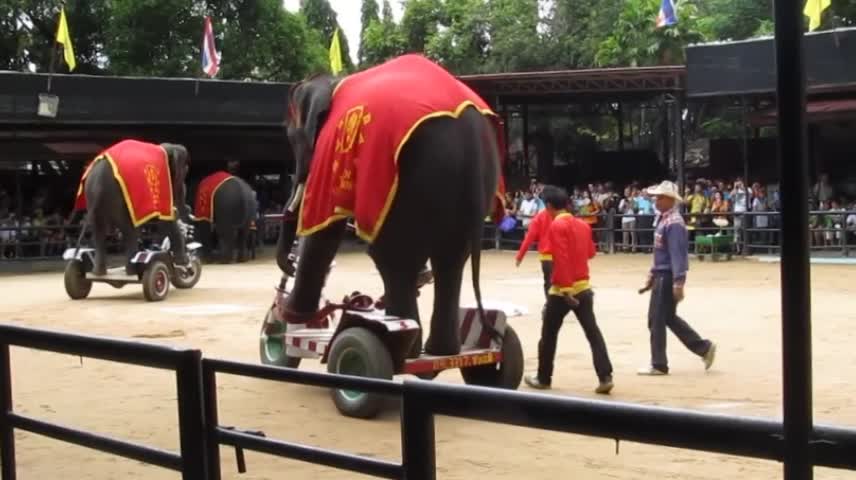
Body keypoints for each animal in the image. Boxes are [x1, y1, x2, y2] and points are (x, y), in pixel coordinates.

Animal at [73, 139, 191, 276]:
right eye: (185, 172)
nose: (188, 209)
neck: (165, 147)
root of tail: (98, 183)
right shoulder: (161, 177)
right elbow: (165, 218)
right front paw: (184, 262)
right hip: (119, 199)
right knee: (130, 231)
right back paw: (133, 271)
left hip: (93, 199)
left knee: (99, 231)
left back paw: (99, 273)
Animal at [274, 54, 504, 358]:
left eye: (291, 137)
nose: (288, 264)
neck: (336, 80)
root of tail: (470, 133)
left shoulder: (329, 149)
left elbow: (323, 224)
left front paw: (293, 316)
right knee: (450, 257)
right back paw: (440, 351)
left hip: (413, 177)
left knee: (394, 257)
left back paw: (404, 348)